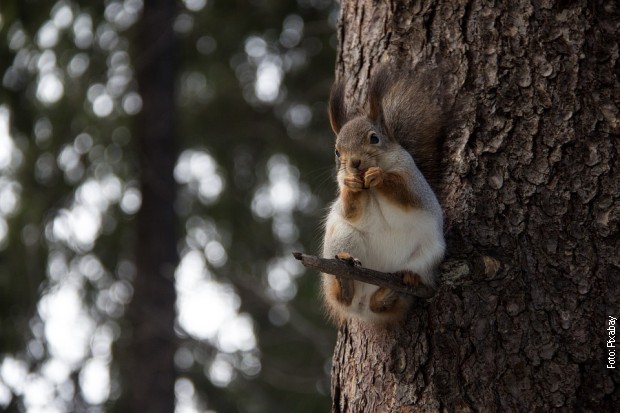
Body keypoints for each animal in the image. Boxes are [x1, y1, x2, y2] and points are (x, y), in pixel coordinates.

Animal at [322, 64, 448, 324]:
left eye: (374, 138)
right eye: (337, 151)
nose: (355, 163)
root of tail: (362, 307)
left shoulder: (412, 181)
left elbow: (405, 195)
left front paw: (378, 175)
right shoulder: (345, 195)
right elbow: (350, 211)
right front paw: (351, 184)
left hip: (428, 253)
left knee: (384, 300)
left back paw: (398, 286)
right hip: (343, 237)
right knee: (342, 296)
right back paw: (345, 278)